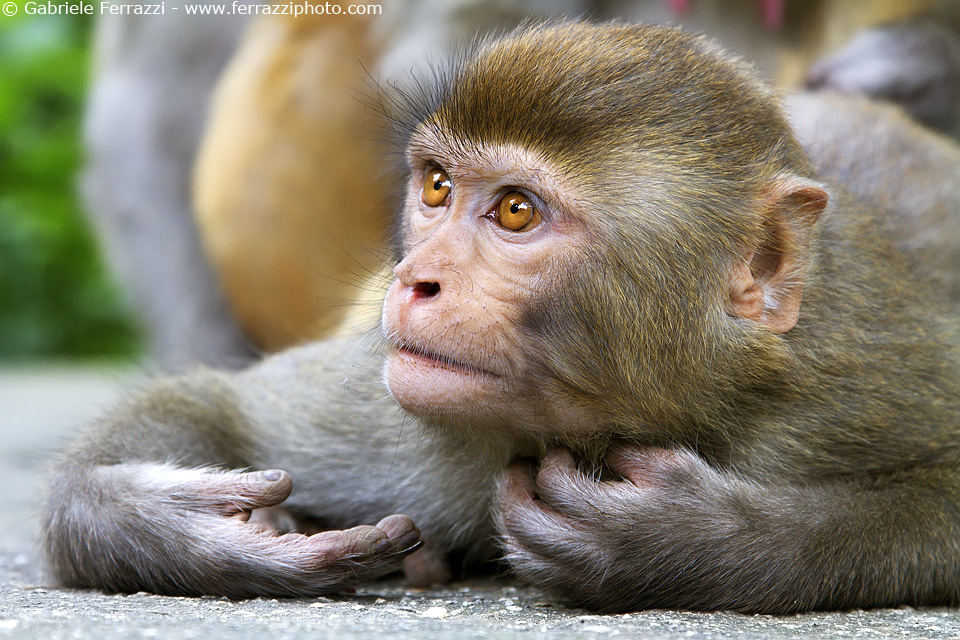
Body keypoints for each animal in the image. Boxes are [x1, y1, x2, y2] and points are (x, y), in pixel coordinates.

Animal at [44, 21, 960, 614]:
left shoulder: (841, 397)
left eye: (517, 211)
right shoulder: (405, 429)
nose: (414, 280)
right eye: (437, 187)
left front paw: (693, 540)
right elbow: (222, 407)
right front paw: (187, 527)